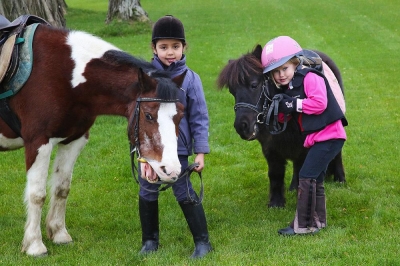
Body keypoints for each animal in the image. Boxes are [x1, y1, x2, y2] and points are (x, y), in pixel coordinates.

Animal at [0, 22, 184, 256]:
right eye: (149, 115)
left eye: (181, 115)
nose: (172, 170)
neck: (63, 74)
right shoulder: (38, 142)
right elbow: (37, 194)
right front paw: (34, 245)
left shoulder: (73, 140)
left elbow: (62, 188)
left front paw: (59, 234)